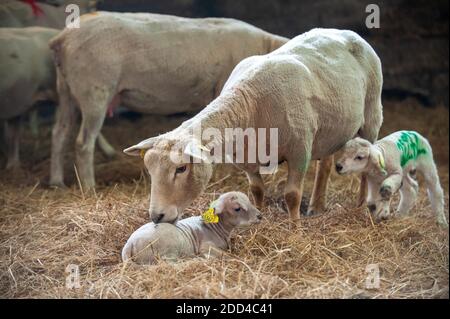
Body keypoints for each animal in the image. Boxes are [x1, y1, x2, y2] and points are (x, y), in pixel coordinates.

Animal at [48, 11, 288, 189]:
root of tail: (62, 39)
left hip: (66, 90)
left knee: (59, 133)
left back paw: (56, 181)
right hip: (94, 91)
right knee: (83, 143)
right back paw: (89, 187)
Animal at [123, 28, 384, 226]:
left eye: (181, 169)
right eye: (150, 170)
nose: (157, 216)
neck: (249, 101)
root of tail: (344, 31)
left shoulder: (299, 151)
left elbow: (292, 195)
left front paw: (295, 228)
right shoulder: (246, 159)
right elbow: (256, 190)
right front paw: (258, 219)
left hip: (372, 115)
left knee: (367, 163)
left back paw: (361, 206)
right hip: (328, 129)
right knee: (326, 163)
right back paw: (317, 207)